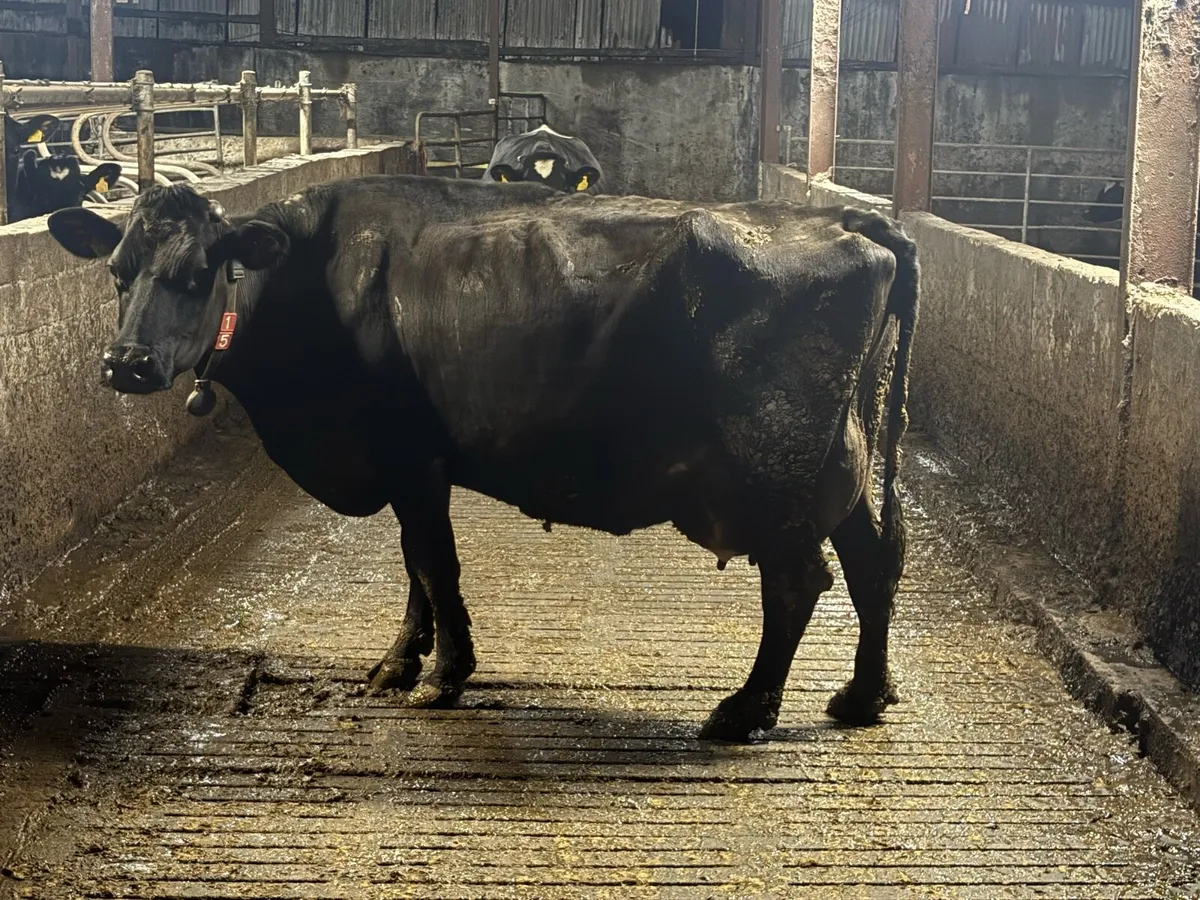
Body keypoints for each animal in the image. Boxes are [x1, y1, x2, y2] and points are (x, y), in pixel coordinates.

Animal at [46, 176, 919, 742]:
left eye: (199, 275)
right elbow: (414, 562)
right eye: (116, 274)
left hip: (776, 469)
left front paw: (443, 674)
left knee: (799, 582)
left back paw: (748, 710)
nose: (126, 363)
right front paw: (400, 661)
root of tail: (847, 219)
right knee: (874, 562)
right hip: (840, 463)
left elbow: (435, 561)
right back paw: (862, 695)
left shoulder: (406, 452)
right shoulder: (412, 462)